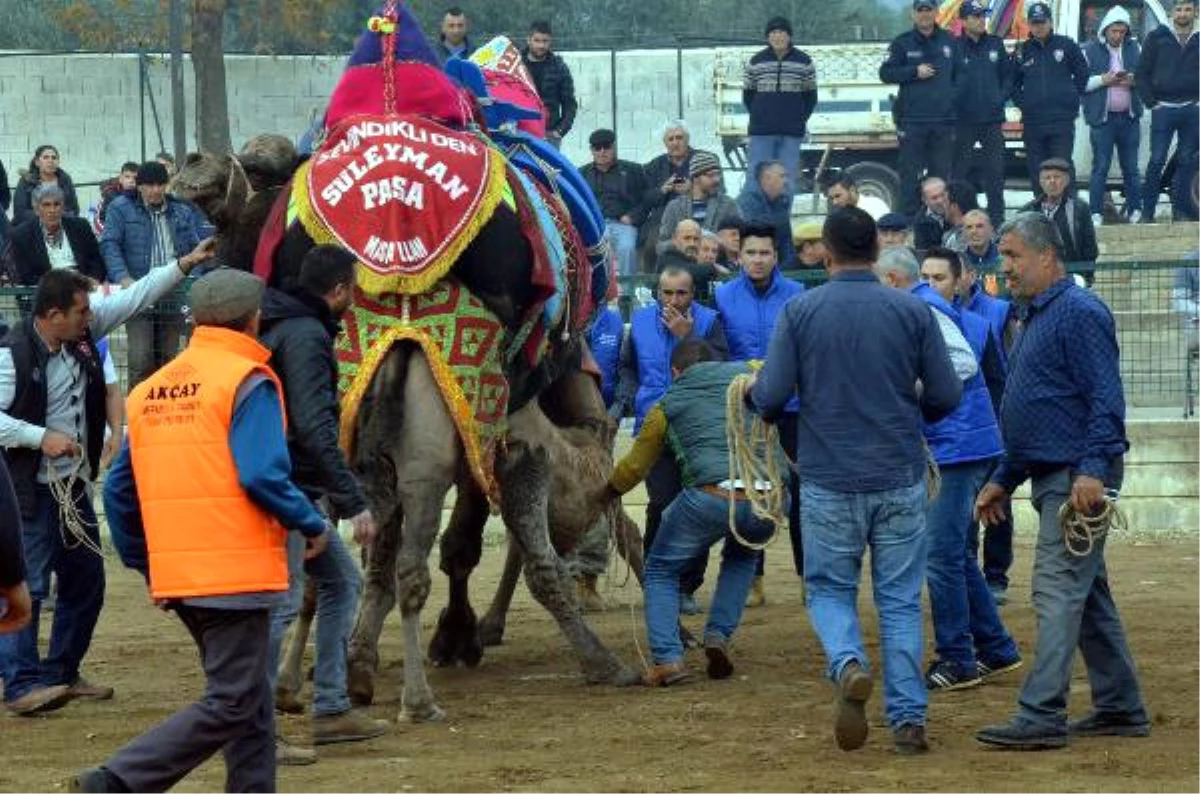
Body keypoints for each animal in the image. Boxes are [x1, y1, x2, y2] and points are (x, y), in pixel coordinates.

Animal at [175, 1, 648, 719]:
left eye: (257, 170)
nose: (191, 165)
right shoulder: (492, 427)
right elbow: (470, 541)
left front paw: (377, 653)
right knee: (414, 552)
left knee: (390, 547)